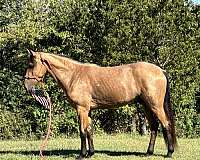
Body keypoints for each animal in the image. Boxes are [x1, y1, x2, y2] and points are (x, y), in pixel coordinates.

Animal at [24, 49, 177, 159]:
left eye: (31, 64)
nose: (26, 86)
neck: (74, 75)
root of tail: (161, 71)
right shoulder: (88, 110)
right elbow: (89, 130)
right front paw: (90, 153)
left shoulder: (81, 109)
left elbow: (82, 131)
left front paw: (82, 155)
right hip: (146, 105)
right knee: (154, 127)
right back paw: (148, 152)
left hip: (155, 106)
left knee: (166, 124)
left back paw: (169, 153)